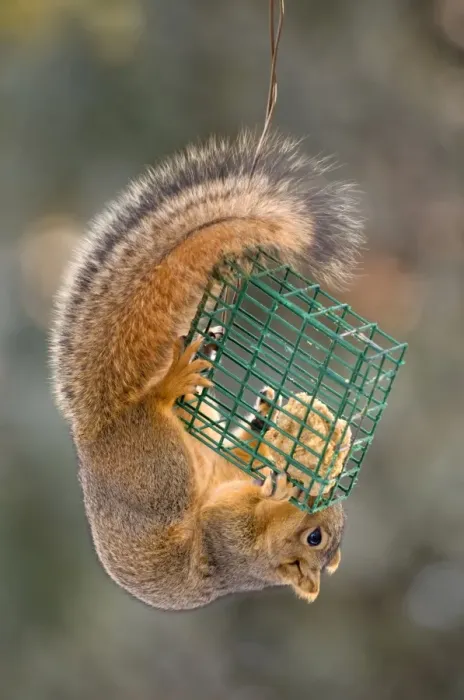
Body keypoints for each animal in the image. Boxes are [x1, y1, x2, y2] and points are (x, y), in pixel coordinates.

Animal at [50, 131, 363, 610]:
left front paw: (278, 496)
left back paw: (173, 385)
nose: (314, 491)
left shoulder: (228, 546)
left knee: (162, 418)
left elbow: (228, 520)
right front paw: (280, 478)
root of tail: (101, 426)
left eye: (316, 538)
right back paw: (227, 399)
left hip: (161, 475)